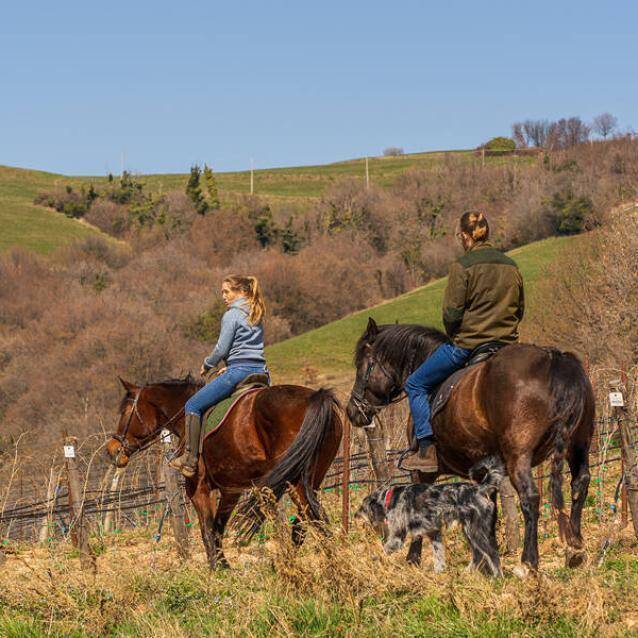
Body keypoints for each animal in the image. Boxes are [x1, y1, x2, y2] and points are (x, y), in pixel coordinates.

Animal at [106, 378, 344, 568]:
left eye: (125, 413)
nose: (112, 449)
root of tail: (315, 396)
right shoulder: (231, 491)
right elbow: (218, 527)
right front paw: (223, 565)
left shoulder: (198, 489)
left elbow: (207, 529)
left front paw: (215, 569)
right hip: (311, 480)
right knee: (306, 521)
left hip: (295, 482)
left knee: (315, 520)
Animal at [356, 458, 504, 576]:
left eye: (362, 507)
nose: (355, 515)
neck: (391, 498)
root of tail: (480, 489)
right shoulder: (434, 534)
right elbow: (439, 557)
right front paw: (439, 573)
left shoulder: (396, 538)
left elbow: (380, 552)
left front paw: (370, 560)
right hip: (469, 532)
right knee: (478, 555)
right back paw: (466, 573)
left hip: (476, 532)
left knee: (492, 554)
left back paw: (498, 579)